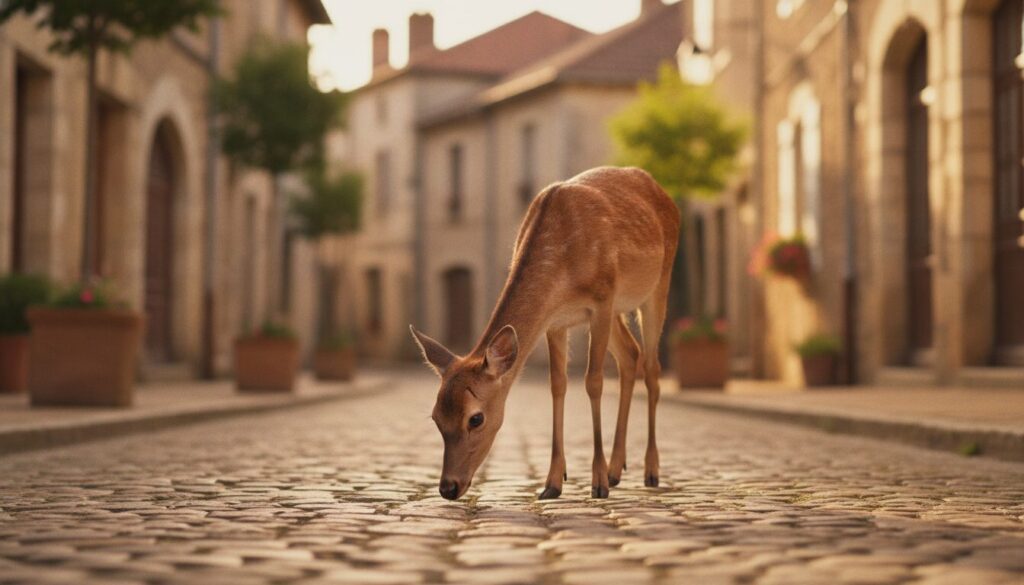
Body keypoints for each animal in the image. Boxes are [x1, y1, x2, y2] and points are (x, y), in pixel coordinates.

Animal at [410, 166, 680, 501]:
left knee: (653, 369)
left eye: (476, 418)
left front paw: (597, 483)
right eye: (436, 416)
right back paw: (617, 470)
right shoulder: (556, 321)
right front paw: (552, 483)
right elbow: (557, 386)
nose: (448, 487)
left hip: (658, 284)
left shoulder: (602, 300)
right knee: (631, 355)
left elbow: (593, 382)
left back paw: (650, 471)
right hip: (619, 309)